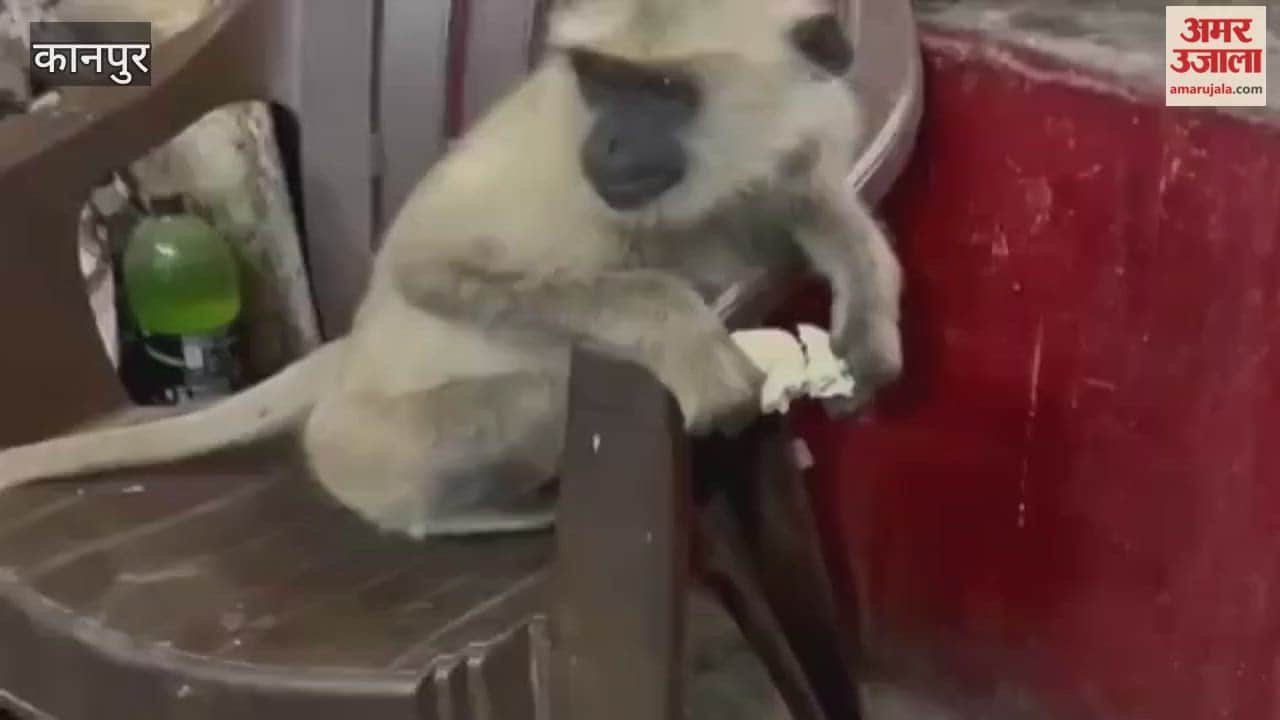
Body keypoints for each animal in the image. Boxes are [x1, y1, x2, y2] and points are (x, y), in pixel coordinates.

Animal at [0, 0, 903, 540]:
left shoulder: (805, 128)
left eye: (663, 89)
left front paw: (867, 313)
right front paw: (680, 327)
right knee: (537, 392)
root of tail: (346, 365)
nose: (609, 142)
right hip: (367, 440)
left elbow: (808, 197)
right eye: (601, 82)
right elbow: (424, 266)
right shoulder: (556, 156)